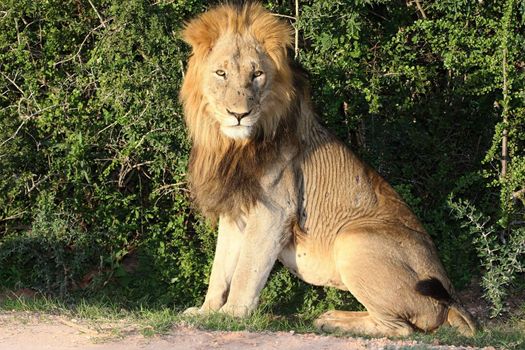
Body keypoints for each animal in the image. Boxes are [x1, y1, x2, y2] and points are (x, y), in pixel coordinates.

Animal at [178, 1, 476, 338]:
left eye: (257, 74)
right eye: (221, 73)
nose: (239, 114)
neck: (231, 147)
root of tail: (452, 302)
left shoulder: (275, 211)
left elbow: (245, 271)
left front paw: (232, 314)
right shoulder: (235, 210)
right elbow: (220, 268)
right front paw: (206, 310)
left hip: (354, 241)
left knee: (401, 328)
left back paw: (332, 320)